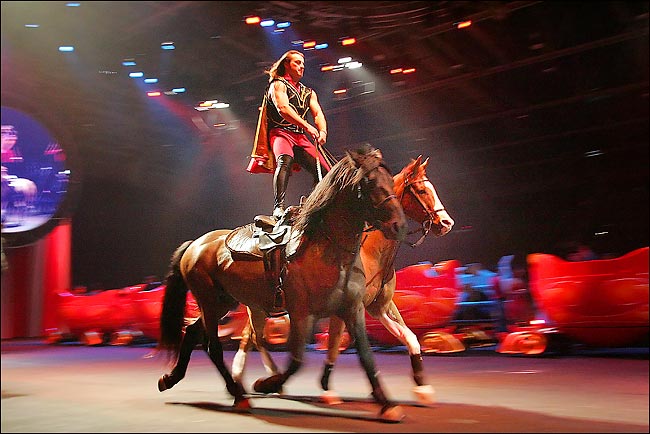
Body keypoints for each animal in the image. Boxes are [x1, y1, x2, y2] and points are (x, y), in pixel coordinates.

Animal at [157, 144, 409, 421]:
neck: (329, 250)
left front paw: (386, 404)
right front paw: (267, 383)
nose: (399, 225)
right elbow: (297, 360)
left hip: (223, 302)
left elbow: (365, 355)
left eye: (391, 181)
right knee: (213, 346)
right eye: (370, 182)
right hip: (209, 302)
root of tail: (195, 244)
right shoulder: (301, 313)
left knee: (193, 333)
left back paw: (171, 378)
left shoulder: (352, 310)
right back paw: (238, 394)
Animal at [230, 155, 455, 406]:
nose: (446, 223)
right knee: (253, 337)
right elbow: (334, 345)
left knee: (252, 336)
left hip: (264, 305)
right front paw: (327, 389)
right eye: (421, 190)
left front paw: (422, 386)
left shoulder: (380, 307)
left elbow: (410, 337)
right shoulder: (345, 309)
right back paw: (249, 378)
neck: (369, 251)